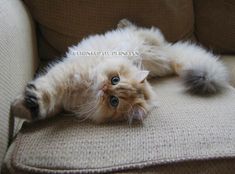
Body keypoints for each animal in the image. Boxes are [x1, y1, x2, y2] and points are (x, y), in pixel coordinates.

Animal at [11, 19, 229, 123]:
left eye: (113, 101)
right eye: (114, 79)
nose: (104, 88)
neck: (86, 91)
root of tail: (169, 54)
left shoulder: (63, 97)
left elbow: (44, 101)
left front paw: (21, 108)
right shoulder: (65, 76)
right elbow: (46, 91)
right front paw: (22, 106)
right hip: (146, 37)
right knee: (139, 27)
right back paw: (122, 22)